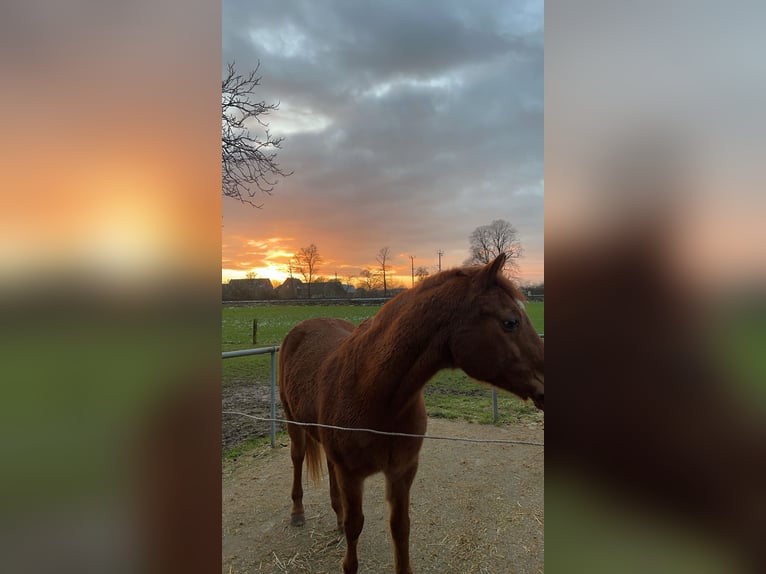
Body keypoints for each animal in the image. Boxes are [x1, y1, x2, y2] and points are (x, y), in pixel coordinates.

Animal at [278, 253, 544, 574]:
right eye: (510, 322)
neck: (375, 394)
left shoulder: (402, 471)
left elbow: (400, 528)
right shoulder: (352, 475)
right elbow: (356, 527)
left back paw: (336, 516)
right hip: (293, 421)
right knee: (297, 457)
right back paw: (297, 511)